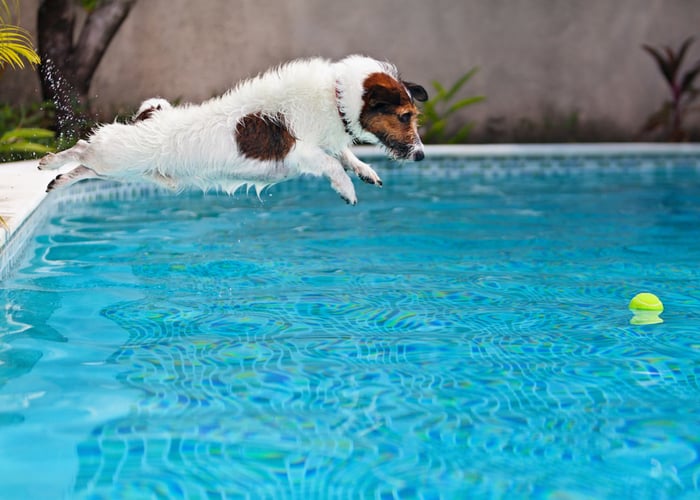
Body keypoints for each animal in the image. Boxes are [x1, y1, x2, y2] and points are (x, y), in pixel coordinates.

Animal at [42, 54, 432, 203]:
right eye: (404, 117)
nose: (421, 156)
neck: (335, 97)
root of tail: (148, 118)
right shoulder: (298, 149)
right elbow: (332, 163)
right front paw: (347, 189)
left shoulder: (327, 140)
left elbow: (345, 154)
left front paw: (365, 170)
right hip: (115, 156)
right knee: (82, 148)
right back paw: (49, 162)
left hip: (127, 171)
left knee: (83, 169)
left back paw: (58, 180)